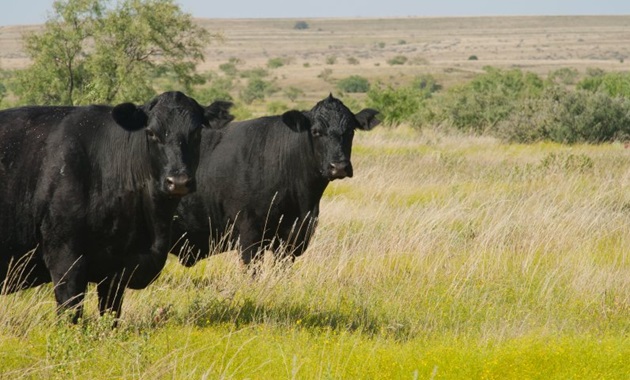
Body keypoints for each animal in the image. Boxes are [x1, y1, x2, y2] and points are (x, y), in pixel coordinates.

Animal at [0, 92, 235, 320]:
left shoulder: (115, 269)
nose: (177, 181)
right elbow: (70, 314)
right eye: (151, 132)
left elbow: (111, 314)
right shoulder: (65, 258)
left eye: (196, 132)